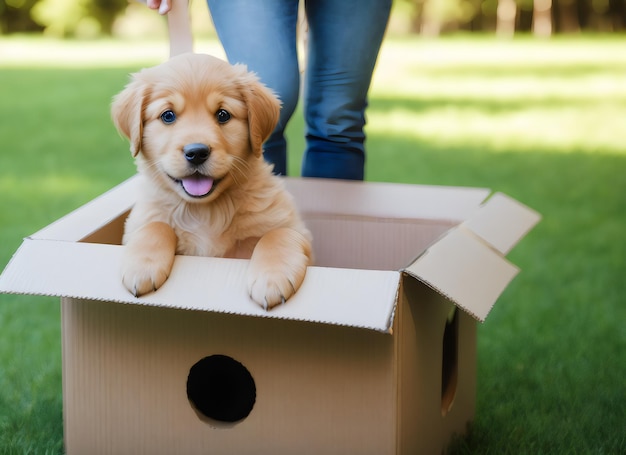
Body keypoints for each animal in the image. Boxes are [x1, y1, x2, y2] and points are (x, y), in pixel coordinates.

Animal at [112, 53, 312, 310]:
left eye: (223, 115)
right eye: (168, 115)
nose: (196, 152)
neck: (204, 211)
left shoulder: (296, 230)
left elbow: (278, 234)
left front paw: (272, 279)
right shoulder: (140, 222)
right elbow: (155, 225)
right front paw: (142, 266)